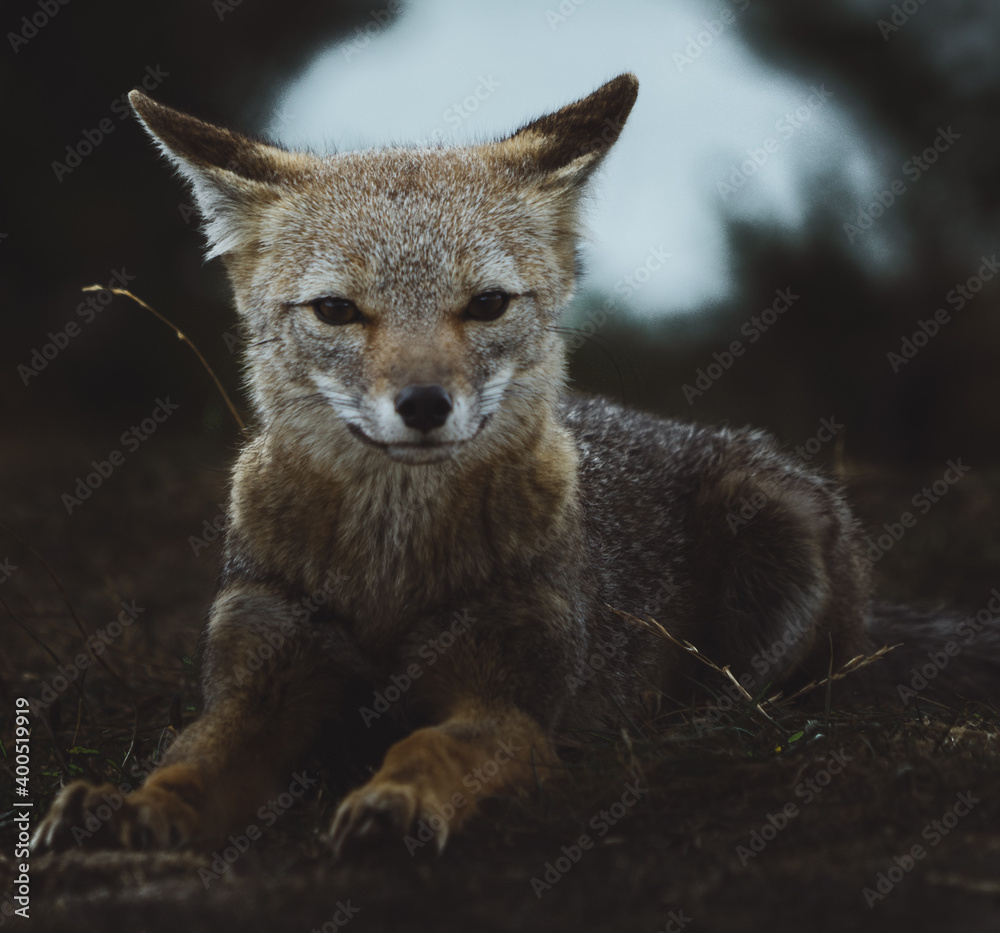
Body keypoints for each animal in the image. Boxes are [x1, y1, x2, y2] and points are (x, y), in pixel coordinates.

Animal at [33, 72, 999, 857]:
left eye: (486, 304)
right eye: (338, 311)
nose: (425, 404)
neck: (390, 571)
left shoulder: (509, 703)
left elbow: (430, 742)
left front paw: (395, 798)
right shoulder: (256, 686)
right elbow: (188, 763)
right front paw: (122, 805)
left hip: (773, 533)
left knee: (758, 705)